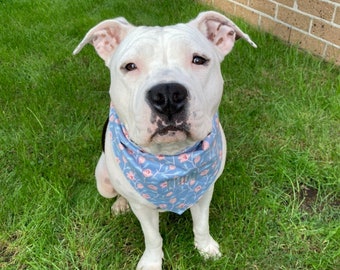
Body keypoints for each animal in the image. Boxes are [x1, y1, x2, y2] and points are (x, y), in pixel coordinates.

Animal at [73, 11, 255, 268]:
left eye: (199, 60)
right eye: (130, 66)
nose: (168, 94)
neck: (169, 161)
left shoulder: (204, 190)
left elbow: (201, 224)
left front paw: (206, 248)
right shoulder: (141, 207)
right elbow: (153, 237)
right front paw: (152, 261)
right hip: (102, 179)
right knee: (118, 192)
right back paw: (120, 204)